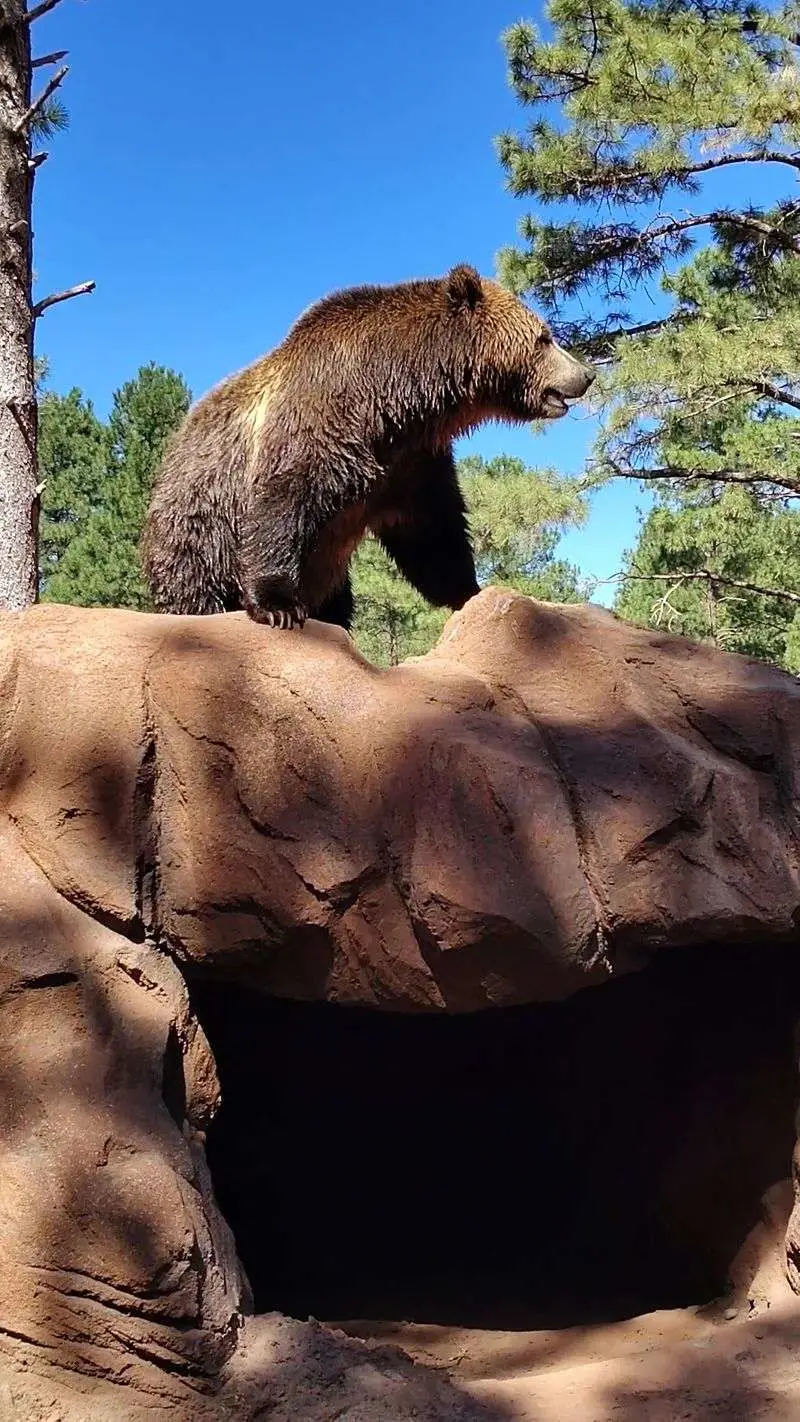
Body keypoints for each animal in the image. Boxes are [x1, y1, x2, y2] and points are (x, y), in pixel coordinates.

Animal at [141, 264, 594, 631]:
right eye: (544, 338)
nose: (586, 374)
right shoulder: (320, 429)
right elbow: (281, 505)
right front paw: (278, 605)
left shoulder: (410, 463)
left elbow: (434, 529)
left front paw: (470, 590)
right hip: (198, 521)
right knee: (193, 583)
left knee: (339, 599)